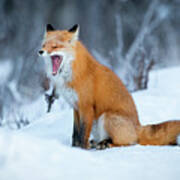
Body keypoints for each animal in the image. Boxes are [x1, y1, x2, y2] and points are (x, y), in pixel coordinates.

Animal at [38, 24, 180, 149]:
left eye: (55, 46)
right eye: (44, 45)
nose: (40, 51)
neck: (73, 73)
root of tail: (138, 127)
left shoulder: (86, 107)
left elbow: (82, 135)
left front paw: (81, 151)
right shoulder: (75, 107)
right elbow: (75, 134)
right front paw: (73, 149)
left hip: (107, 117)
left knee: (129, 143)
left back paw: (106, 144)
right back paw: (98, 143)